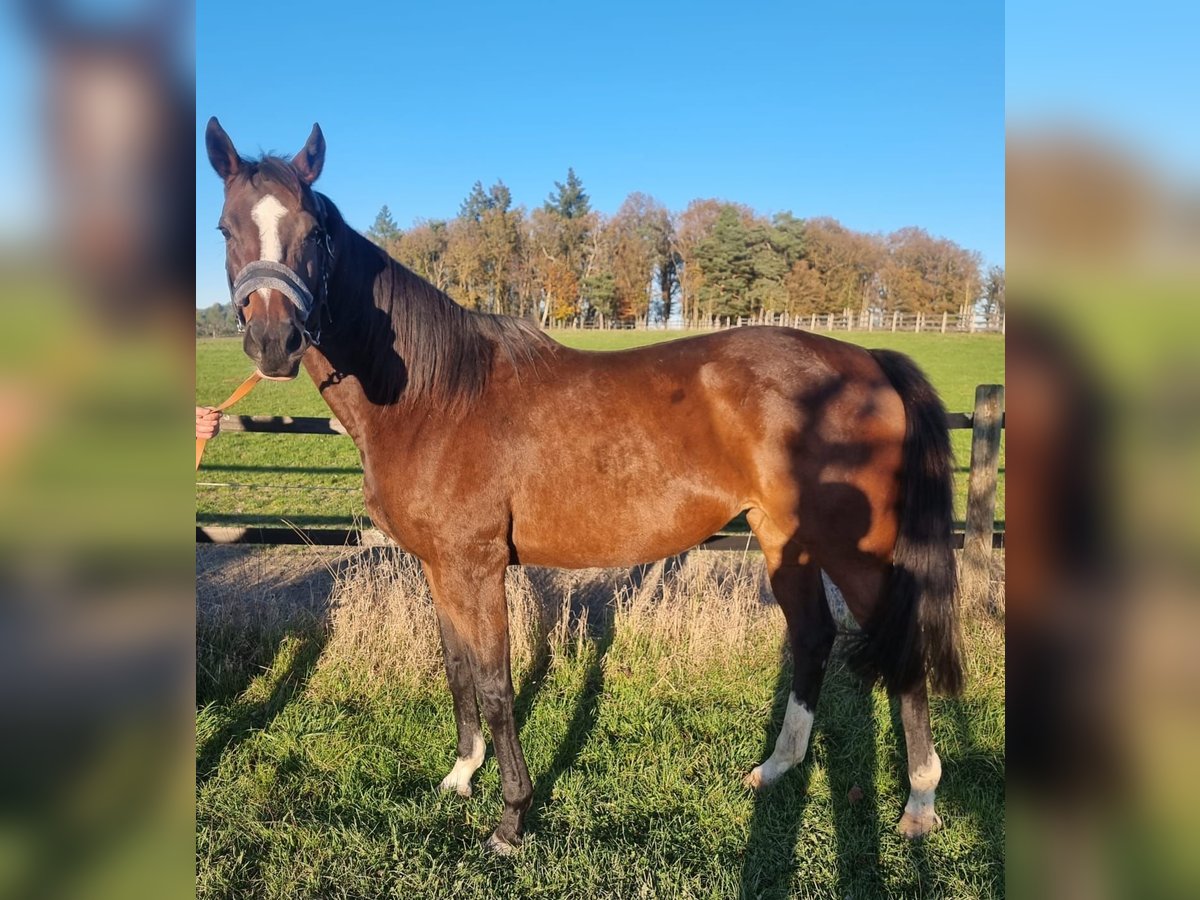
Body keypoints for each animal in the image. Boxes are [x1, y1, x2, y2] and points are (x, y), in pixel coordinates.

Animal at [201, 116, 960, 854]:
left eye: (314, 232)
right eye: (226, 228)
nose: (273, 341)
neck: (434, 395)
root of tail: (869, 359)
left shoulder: (476, 567)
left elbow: (495, 682)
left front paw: (511, 820)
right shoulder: (440, 568)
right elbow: (456, 668)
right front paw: (461, 776)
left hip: (854, 551)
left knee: (901, 649)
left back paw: (921, 804)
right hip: (782, 538)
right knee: (812, 637)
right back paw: (775, 769)